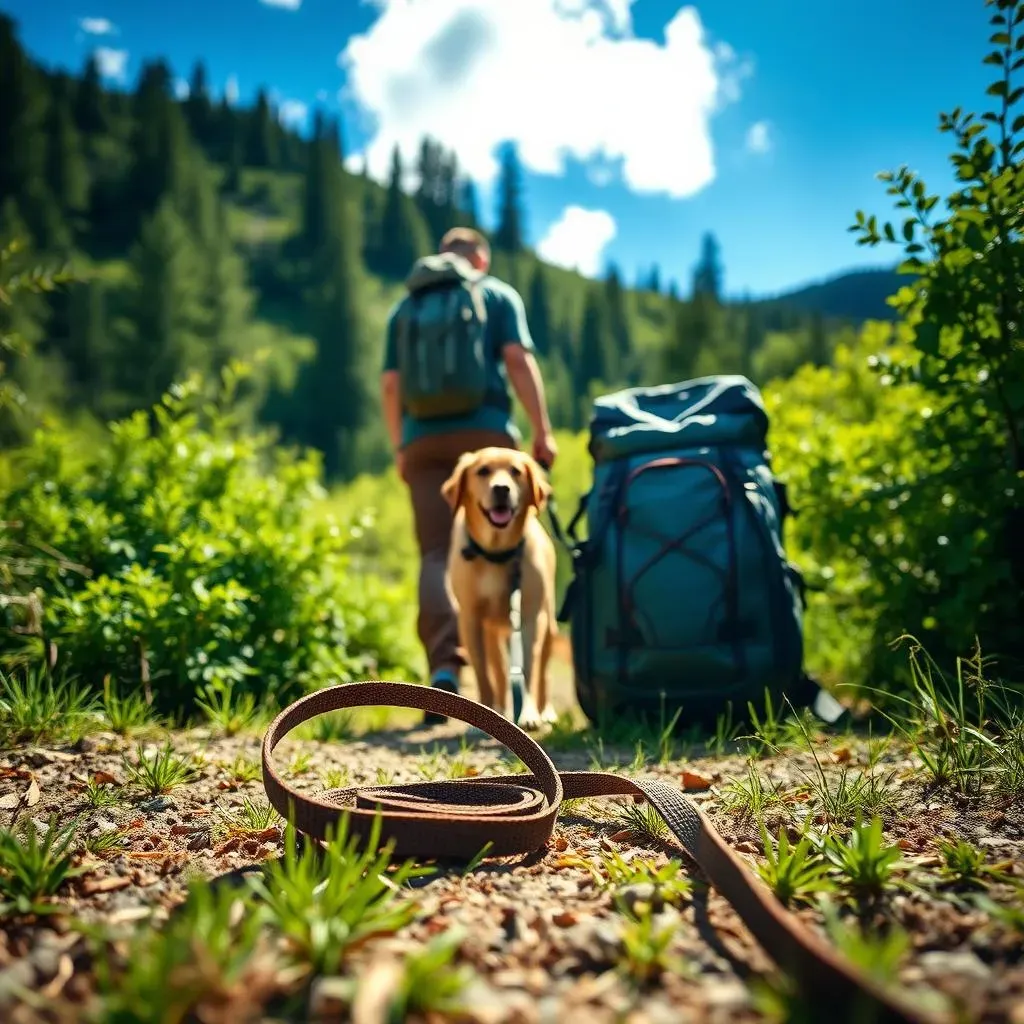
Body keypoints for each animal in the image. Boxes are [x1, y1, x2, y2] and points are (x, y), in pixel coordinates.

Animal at [440, 446, 561, 729]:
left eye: (516, 471)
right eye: (483, 471)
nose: (502, 488)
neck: (496, 553)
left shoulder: (530, 618)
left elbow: (529, 669)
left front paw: (529, 713)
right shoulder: (470, 620)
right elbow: (483, 673)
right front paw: (482, 714)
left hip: (548, 624)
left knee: (543, 673)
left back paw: (546, 711)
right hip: (491, 632)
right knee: (498, 671)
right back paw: (500, 709)